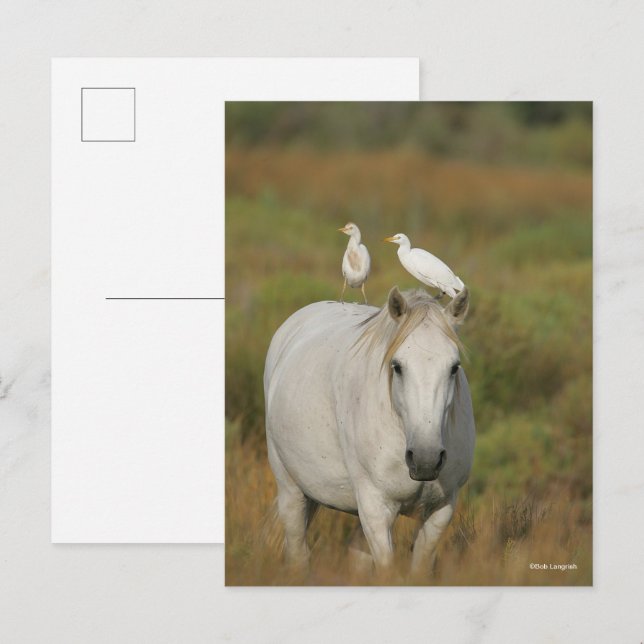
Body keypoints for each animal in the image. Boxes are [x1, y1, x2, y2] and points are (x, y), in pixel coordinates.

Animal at [264, 286, 475, 573]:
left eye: (454, 367)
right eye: (397, 366)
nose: (426, 460)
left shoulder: (440, 510)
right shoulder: (375, 508)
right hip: (291, 490)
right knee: (298, 553)